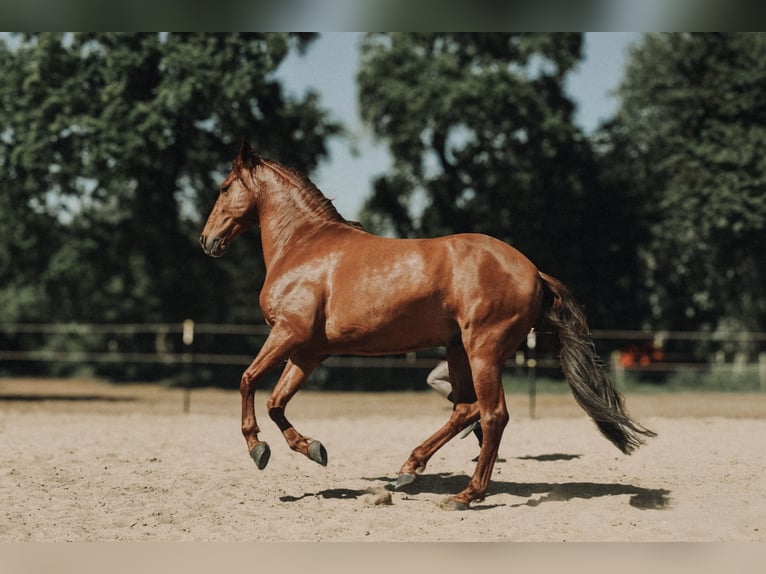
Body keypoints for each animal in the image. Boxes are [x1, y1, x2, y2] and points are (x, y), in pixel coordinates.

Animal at [199, 141, 655, 509]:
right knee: (465, 409)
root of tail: (534, 272)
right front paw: (312, 448)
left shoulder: (287, 333)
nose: (207, 241)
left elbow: (247, 380)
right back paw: (409, 468)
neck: (304, 246)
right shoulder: (309, 352)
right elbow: (276, 401)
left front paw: (258, 448)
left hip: (482, 350)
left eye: (223, 187)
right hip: (457, 350)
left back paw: (465, 495)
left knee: (493, 415)